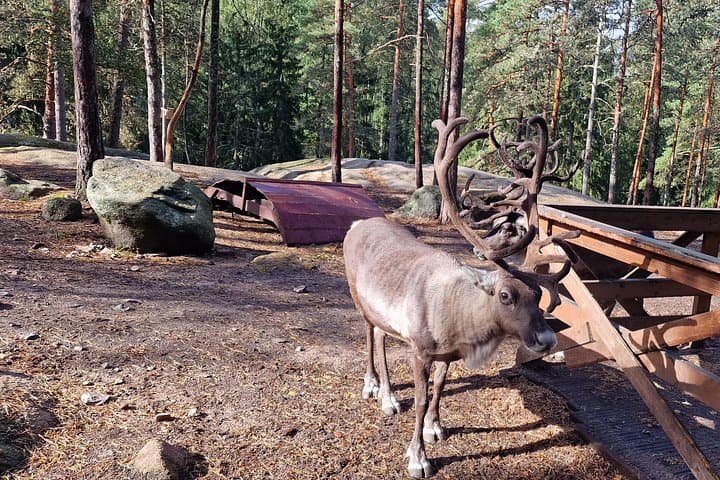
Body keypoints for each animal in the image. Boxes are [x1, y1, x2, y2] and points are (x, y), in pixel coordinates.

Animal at [343, 115, 579, 478]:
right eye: (506, 295)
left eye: (539, 294)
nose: (548, 339)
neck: (461, 320)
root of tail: (356, 224)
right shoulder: (421, 350)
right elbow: (421, 399)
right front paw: (418, 457)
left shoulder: (447, 355)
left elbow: (439, 389)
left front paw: (435, 427)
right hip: (357, 296)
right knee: (370, 335)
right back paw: (378, 390)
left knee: (381, 333)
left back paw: (386, 393)